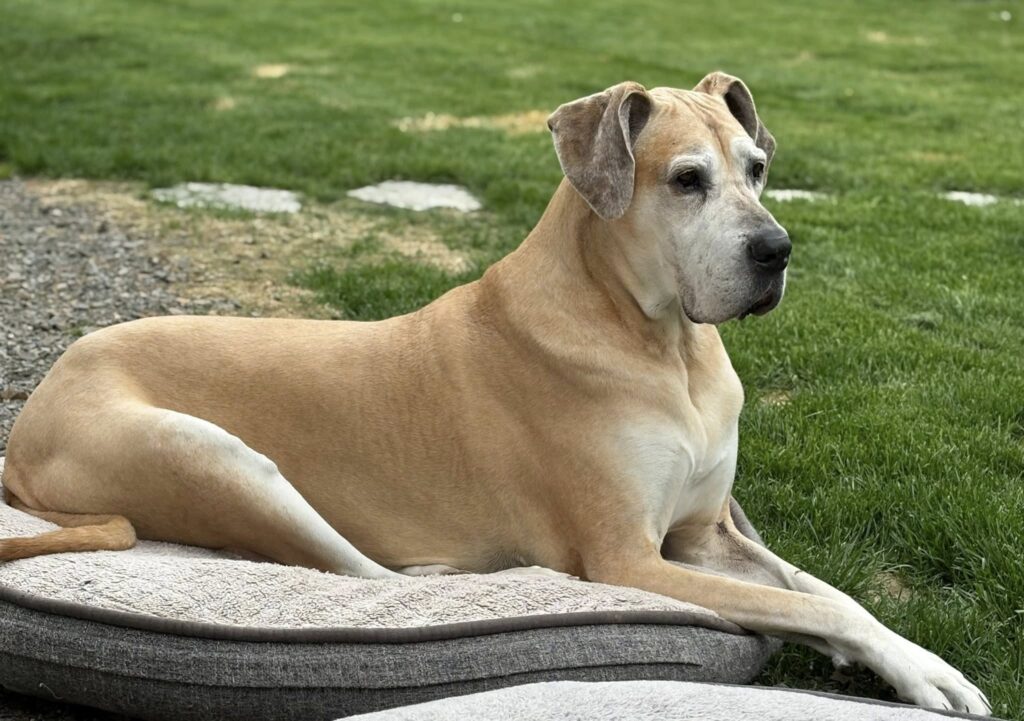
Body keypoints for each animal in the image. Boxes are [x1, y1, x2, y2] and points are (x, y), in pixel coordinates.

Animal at [0, 72, 989, 714]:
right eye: (686, 180)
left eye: (756, 166)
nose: (777, 251)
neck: (661, 341)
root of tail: (31, 417)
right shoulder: (631, 559)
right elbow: (805, 602)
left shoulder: (705, 536)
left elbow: (830, 593)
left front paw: (922, 661)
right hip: (213, 453)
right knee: (355, 568)